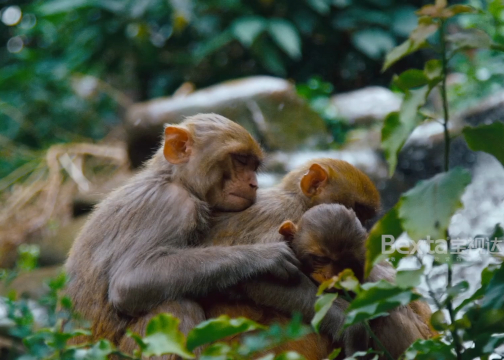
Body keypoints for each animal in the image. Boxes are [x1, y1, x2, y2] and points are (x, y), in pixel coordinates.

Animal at [64, 113, 304, 352]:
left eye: (254, 165)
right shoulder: (172, 204)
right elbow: (128, 282)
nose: (254, 184)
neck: (173, 179)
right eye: (241, 160)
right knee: (174, 306)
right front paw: (264, 257)